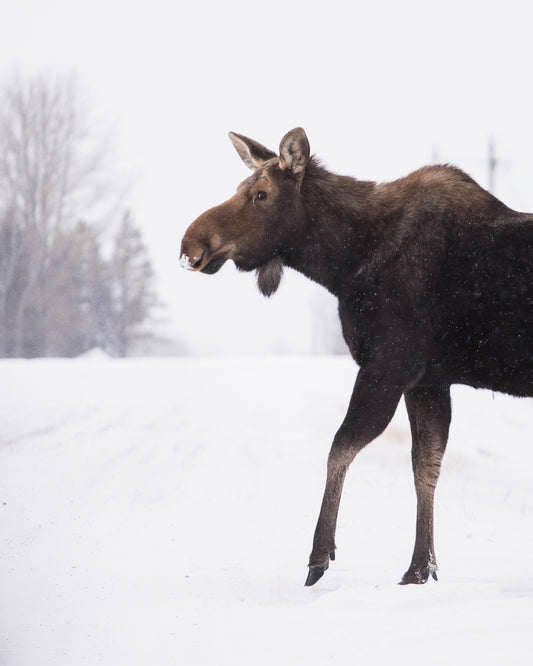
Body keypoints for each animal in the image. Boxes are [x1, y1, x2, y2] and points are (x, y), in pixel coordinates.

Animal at [180, 127, 533, 586]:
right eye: (242, 186)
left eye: (260, 194)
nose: (190, 243)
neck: (344, 265)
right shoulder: (428, 379)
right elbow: (426, 466)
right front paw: (419, 570)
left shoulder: (388, 365)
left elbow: (341, 447)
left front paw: (319, 555)